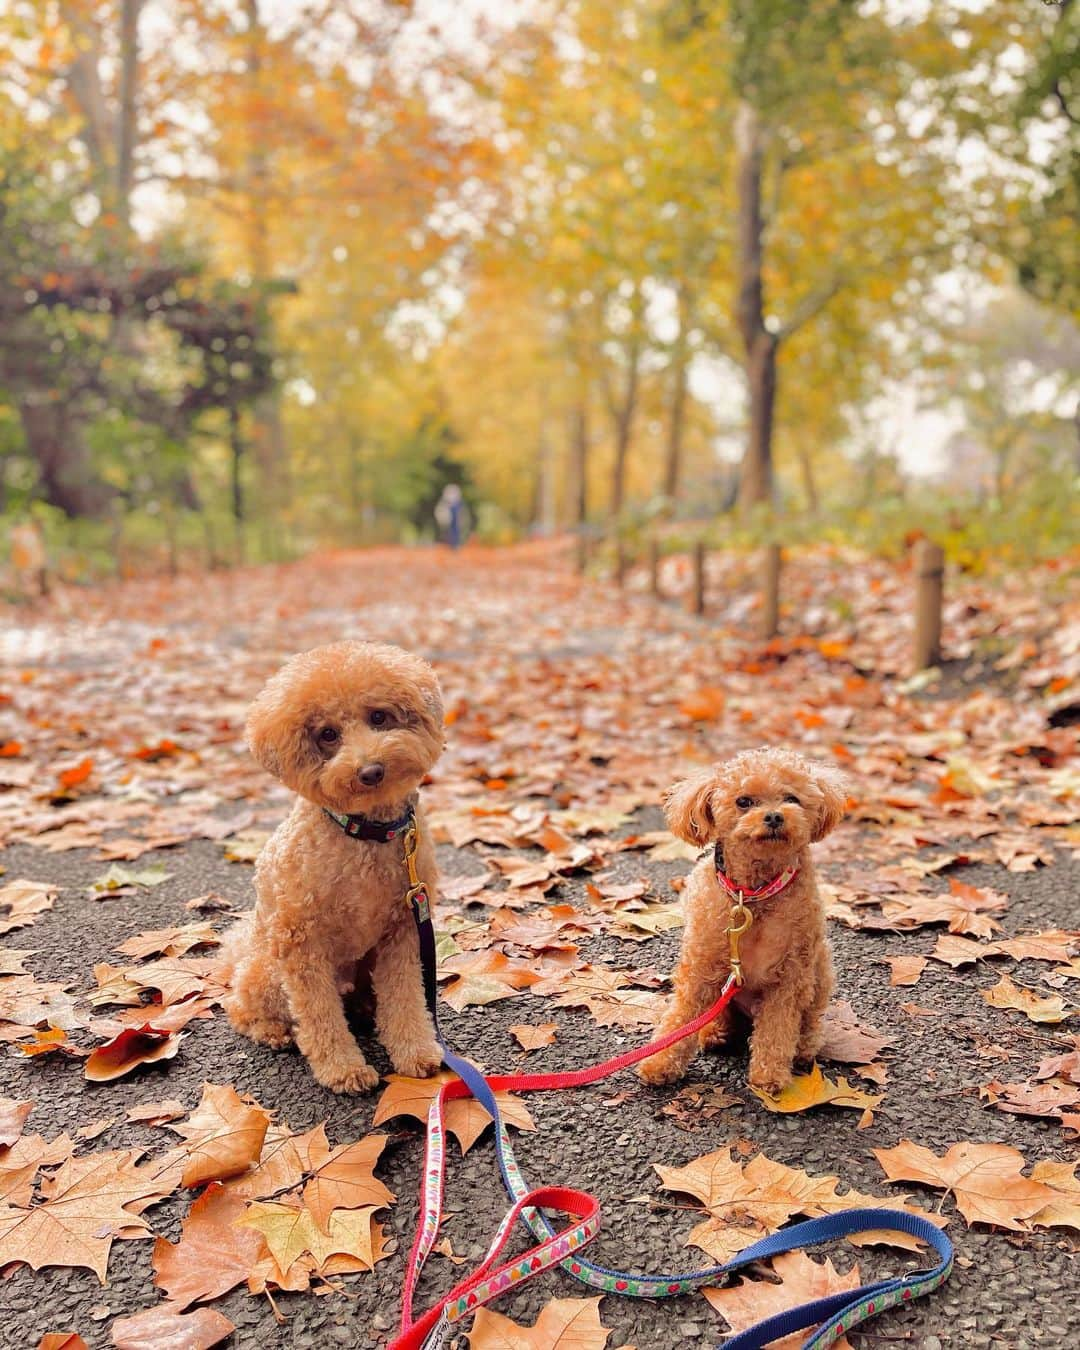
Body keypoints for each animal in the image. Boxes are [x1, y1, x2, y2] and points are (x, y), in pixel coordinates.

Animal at [221, 637, 445, 1090]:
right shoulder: (301, 942)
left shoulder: (403, 931)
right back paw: (273, 1031)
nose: (371, 770)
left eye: (378, 716)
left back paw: (364, 1008)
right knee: (241, 1005)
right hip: (268, 971)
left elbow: (406, 998)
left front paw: (416, 1052)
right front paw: (343, 1069)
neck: (366, 834)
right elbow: (319, 1014)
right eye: (327, 734)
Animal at [637, 745, 847, 1101]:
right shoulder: (701, 966)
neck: (751, 896)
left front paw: (769, 1077)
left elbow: (777, 1029)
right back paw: (715, 1032)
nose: (774, 816)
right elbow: (681, 1018)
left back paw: (803, 1049)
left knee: (809, 1023)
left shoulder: (789, 977)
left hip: (819, 971)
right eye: (744, 801)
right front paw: (659, 1063)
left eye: (791, 798)